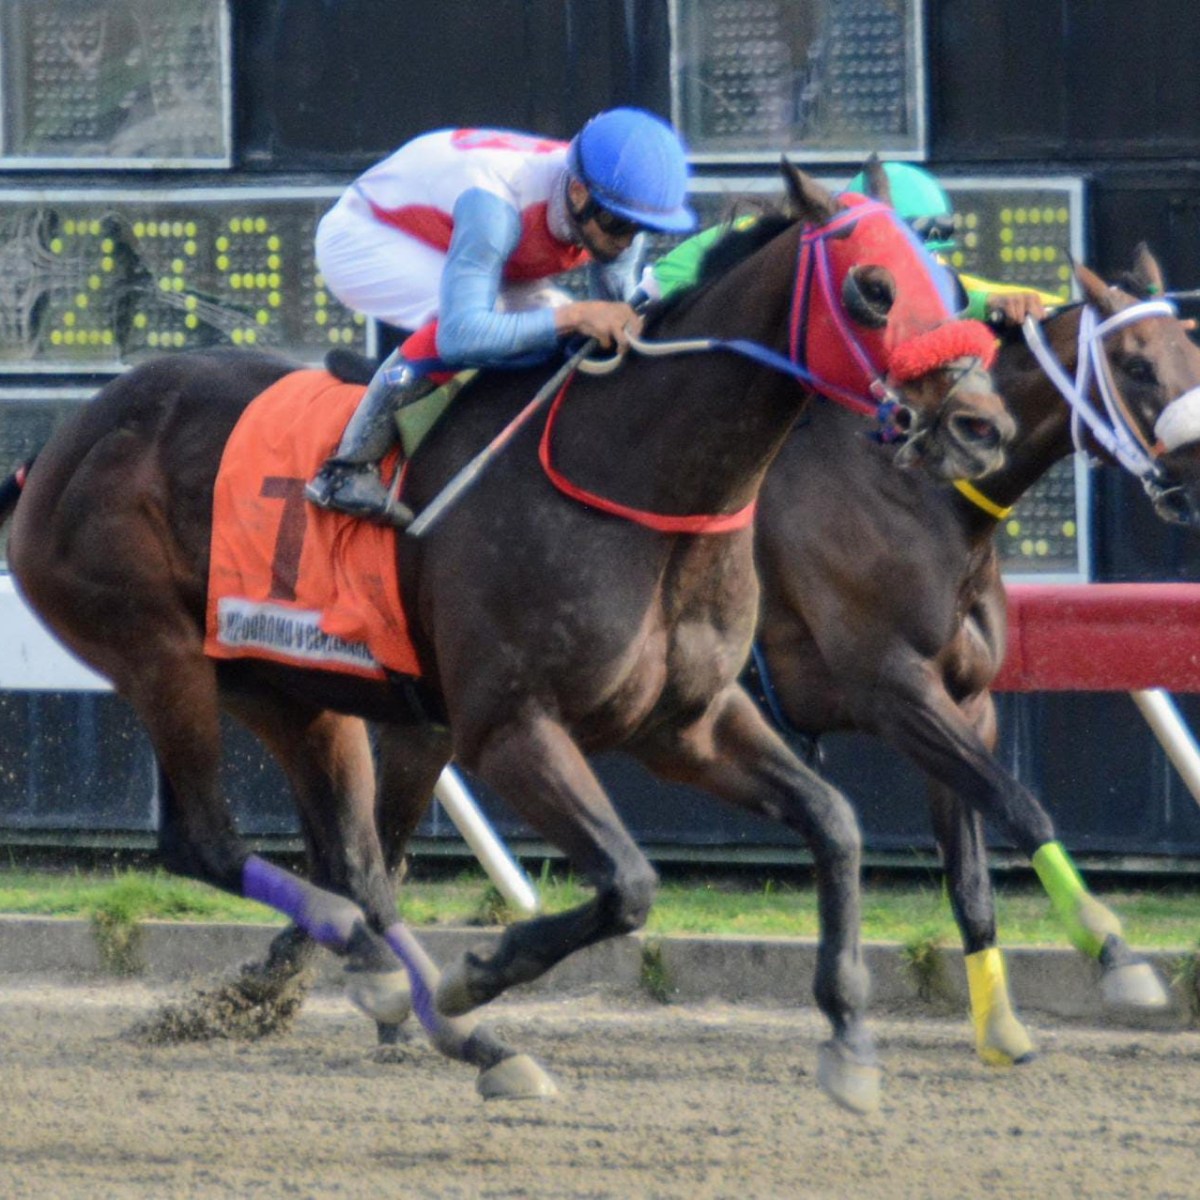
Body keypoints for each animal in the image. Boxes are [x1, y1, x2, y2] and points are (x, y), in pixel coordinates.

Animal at [0, 162, 1012, 1113]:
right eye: (874, 287)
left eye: (951, 285)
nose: (981, 426)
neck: (637, 474)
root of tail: (60, 444)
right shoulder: (510, 728)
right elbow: (629, 883)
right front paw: (478, 972)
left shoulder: (687, 722)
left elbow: (835, 824)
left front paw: (849, 1037)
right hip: (161, 654)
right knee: (210, 844)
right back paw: (401, 982)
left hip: (290, 688)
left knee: (357, 862)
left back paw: (446, 1024)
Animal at [753, 241, 1200, 1060]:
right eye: (1135, 363)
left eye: (1192, 345)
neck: (923, 496)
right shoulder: (895, 691)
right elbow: (1020, 805)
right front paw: (1114, 952)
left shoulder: (965, 702)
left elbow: (970, 873)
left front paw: (999, 1028)